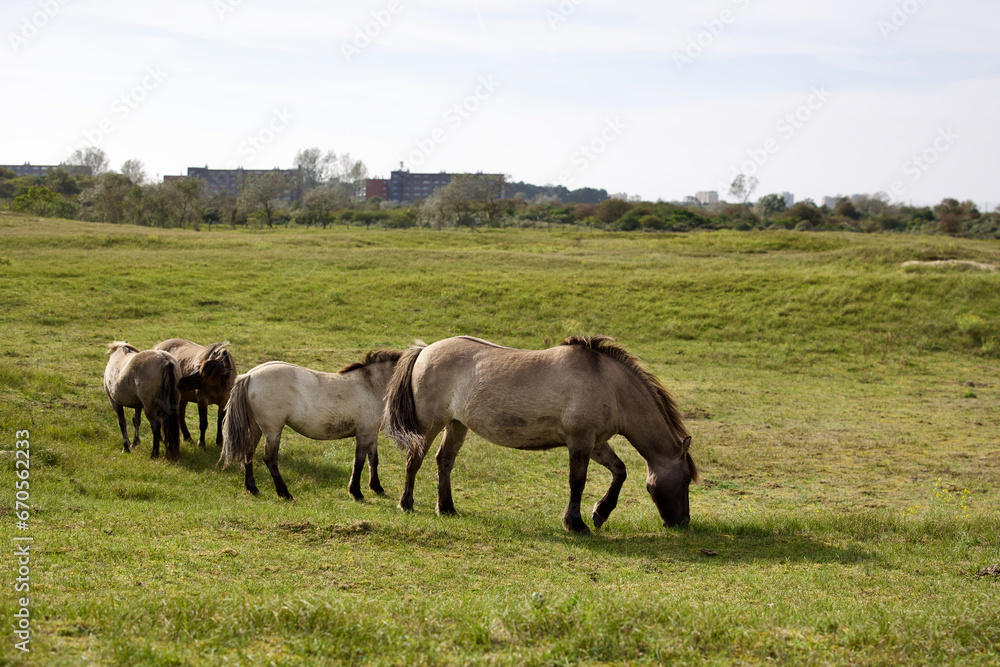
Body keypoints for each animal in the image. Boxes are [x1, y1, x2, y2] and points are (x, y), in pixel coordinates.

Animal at [222, 350, 402, 500]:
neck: (371, 384)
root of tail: (250, 375)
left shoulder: (372, 433)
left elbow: (373, 460)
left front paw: (377, 488)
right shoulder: (364, 433)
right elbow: (359, 462)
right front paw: (356, 493)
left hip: (256, 428)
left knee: (249, 453)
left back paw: (252, 488)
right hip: (273, 430)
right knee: (270, 459)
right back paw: (284, 493)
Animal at [382, 336, 696, 536]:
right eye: (685, 481)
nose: (683, 522)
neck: (610, 385)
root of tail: (425, 350)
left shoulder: (595, 442)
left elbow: (619, 471)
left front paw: (600, 513)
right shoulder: (580, 442)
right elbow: (577, 482)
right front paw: (576, 524)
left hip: (457, 424)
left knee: (444, 461)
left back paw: (446, 509)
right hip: (429, 425)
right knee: (414, 460)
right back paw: (406, 504)